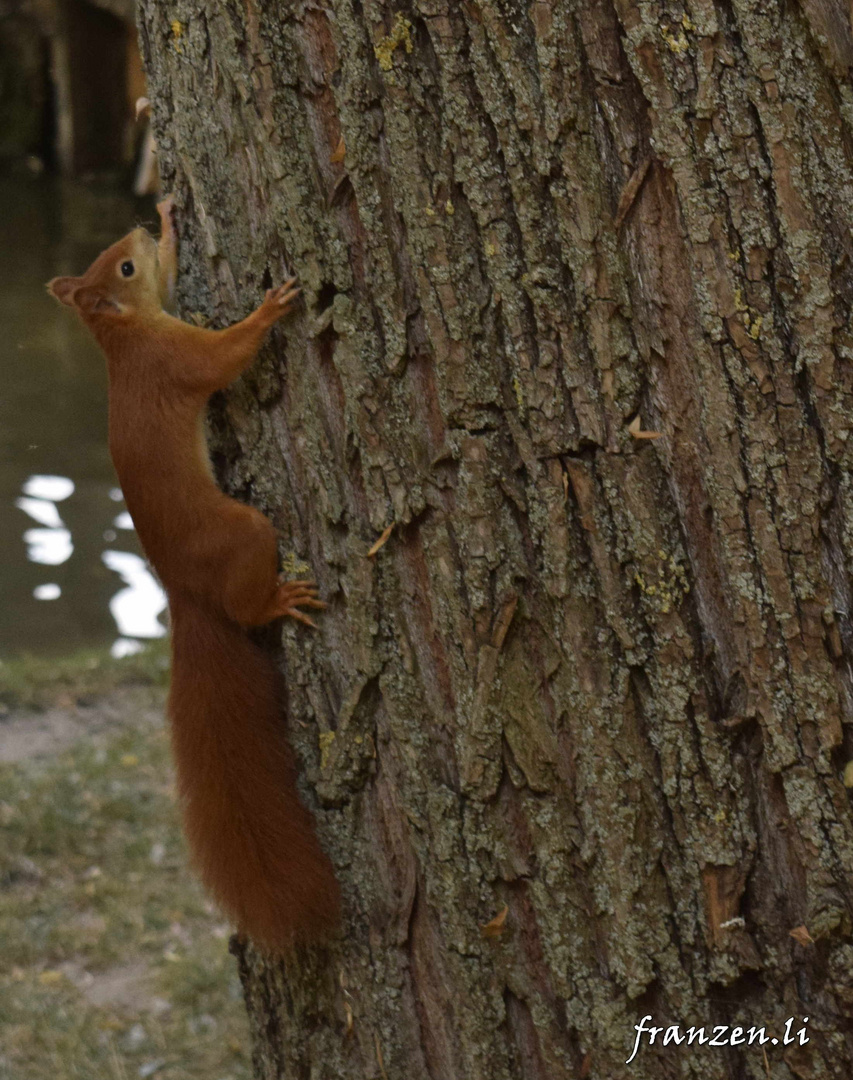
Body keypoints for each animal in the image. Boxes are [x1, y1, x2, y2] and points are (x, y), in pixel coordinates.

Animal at [48, 198, 339, 950]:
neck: (125, 343)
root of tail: (184, 594)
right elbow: (227, 355)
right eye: (123, 268)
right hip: (245, 533)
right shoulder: (181, 359)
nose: (136, 233)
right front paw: (269, 308)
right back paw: (279, 601)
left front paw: (170, 218)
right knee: (248, 599)